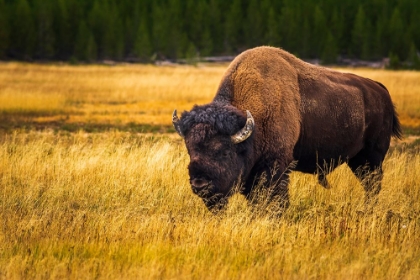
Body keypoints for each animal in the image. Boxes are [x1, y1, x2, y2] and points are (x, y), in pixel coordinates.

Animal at [172, 46, 402, 212]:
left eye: (224, 151)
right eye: (190, 150)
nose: (200, 184)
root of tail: (381, 90)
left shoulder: (276, 166)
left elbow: (275, 198)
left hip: (372, 157)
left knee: (372, 184)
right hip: (357, 160)